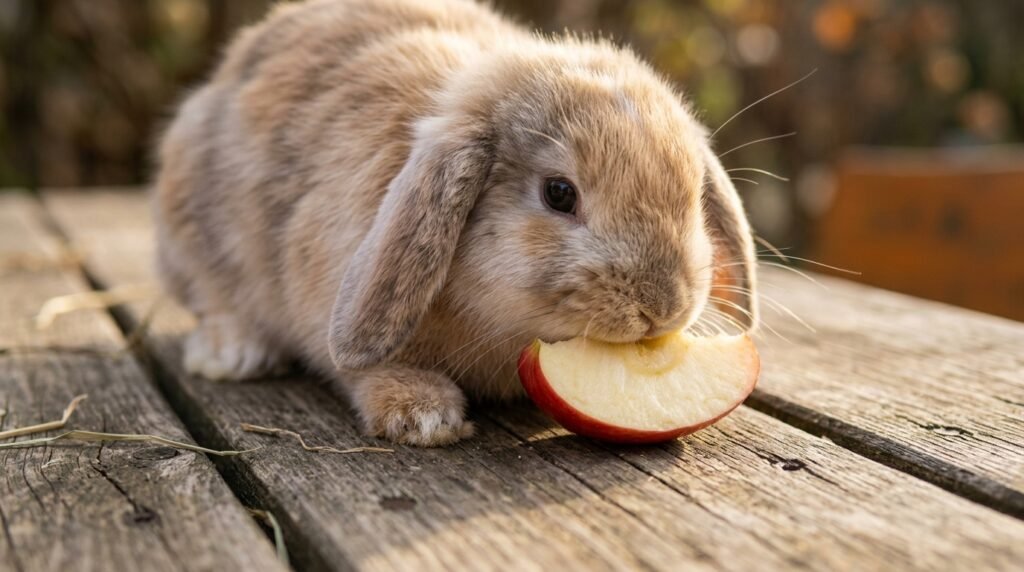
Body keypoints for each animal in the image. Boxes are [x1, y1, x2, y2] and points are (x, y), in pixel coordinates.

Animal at [153, 0, 759, 447]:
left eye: (692, 195)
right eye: (559, 194)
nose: (663, 308)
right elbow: (355, 367)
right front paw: (423, 415)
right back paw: (234, 352)